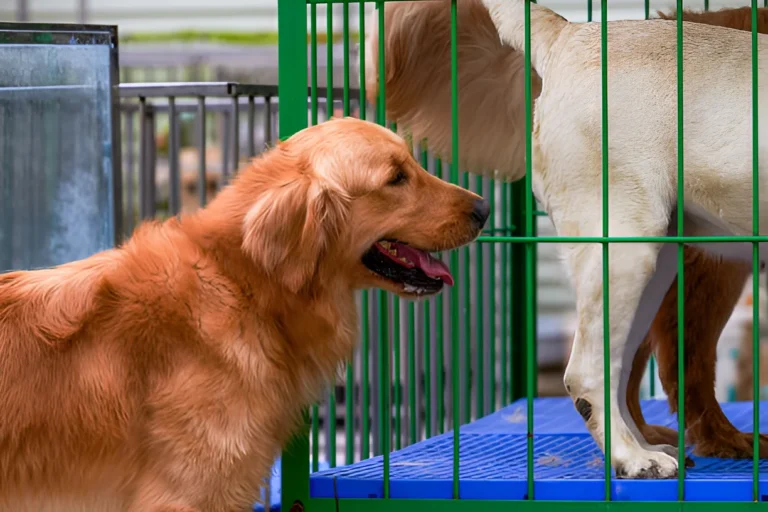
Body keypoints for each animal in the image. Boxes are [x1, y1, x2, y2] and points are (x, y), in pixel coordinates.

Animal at [484, 0, 764, 480]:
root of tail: (568, 36)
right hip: (625, 254)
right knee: (587, 372)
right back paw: (632, 458)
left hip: (653, 267)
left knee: (618, 371)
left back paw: (644, 446)